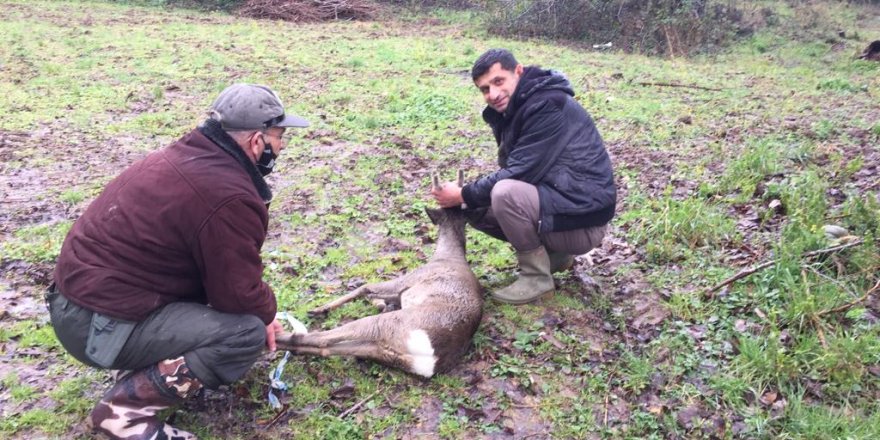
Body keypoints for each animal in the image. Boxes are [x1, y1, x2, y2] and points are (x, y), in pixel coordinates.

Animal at [274, 172, 482, 378]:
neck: (448, 254)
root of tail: (432, 360)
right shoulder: (401, 292)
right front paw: (378, 303)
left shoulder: (409, 280)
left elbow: (365, 287)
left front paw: (321, 308)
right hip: (382, 350)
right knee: (328, 348)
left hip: (385, 324)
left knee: (322, 338)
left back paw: (282, 336)